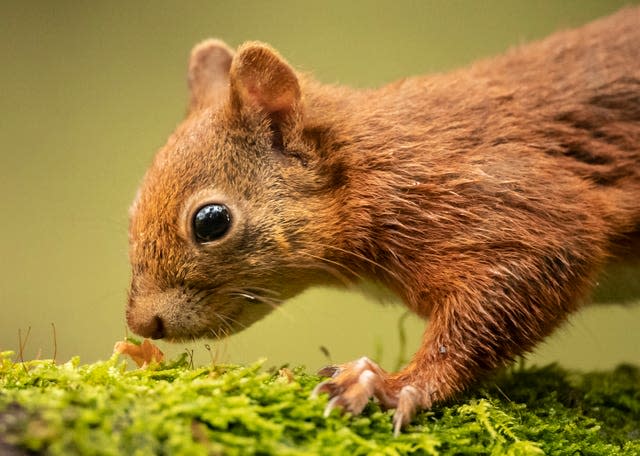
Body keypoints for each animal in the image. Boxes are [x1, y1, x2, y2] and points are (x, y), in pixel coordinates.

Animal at [127, 8, 636, 432]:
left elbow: (514, 287)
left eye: (211, 221)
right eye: (132, 207)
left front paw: (389, 384)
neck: (374, 165)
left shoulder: (510, 202)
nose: (142, 323)